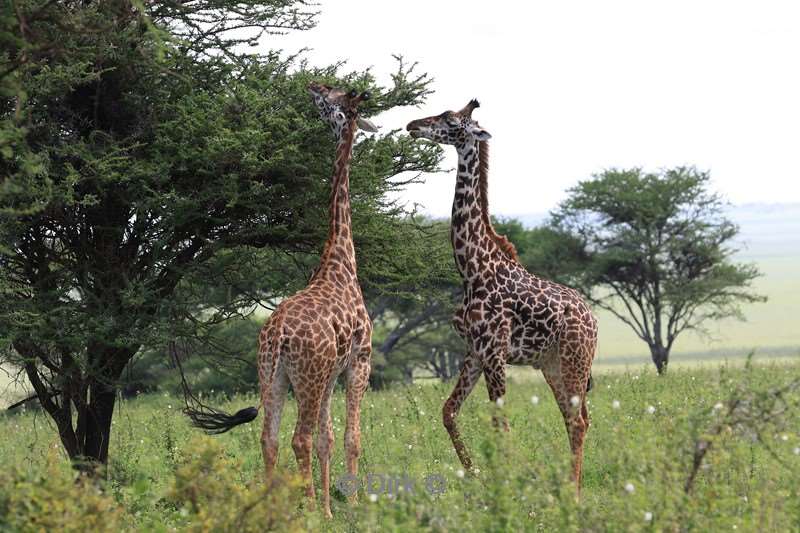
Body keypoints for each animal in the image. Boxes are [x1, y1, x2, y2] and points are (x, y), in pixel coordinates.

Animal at [188, 82, 378, 516]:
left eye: (330, 97)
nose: (313, 86)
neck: (340, 261)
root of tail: (276, 336)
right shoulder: (358, 363)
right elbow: (350, 438)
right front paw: (348, 507)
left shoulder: (331, 373)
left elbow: (328, 439)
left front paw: (330, 509)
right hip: (306, 377)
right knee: (298, 438)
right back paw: (304, 511)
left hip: (273, 375)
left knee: (269, 439)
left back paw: (273, 509)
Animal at [410, 101, 596, 490]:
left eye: (450, 119)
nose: (413, 125)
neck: (472, 268)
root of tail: (594, 320)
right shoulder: (474, 350)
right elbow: (449, 411)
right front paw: (476, 475)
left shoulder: (495, 352)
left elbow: (500, 424)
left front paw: (506, 485)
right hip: (552, 365)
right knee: (575, 418)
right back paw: (573, 483)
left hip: (575, 360)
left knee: (577, 420)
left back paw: (572, 490)